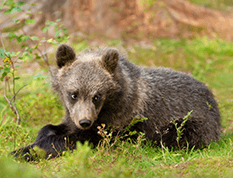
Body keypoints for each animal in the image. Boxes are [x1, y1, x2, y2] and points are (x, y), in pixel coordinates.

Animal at [10, 43, 221, 161]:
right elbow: (53, 127)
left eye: (97, 96)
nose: (85, 121)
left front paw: (20, 152)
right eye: (73, 94)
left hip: (191, 122)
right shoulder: (73, 115)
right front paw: (40, 136)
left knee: (175, 135)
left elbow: (74, 140)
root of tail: (211, 96)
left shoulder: (118, 120)